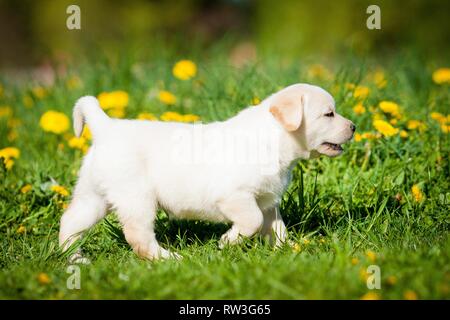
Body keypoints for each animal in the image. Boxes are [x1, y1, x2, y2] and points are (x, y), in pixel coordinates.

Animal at [59, 84, 356, 262]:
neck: (273, 139)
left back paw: (74, 258)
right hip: (137, 198)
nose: (353, 126)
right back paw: (168, 259)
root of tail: (106, 126)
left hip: (93, 196)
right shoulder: (235, 196)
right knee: (138, 236)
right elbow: (253, 221)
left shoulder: (268, 200)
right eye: (329, 114)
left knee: (70, 221)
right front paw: (227, 242)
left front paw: (289, 252)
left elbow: (276, 227)